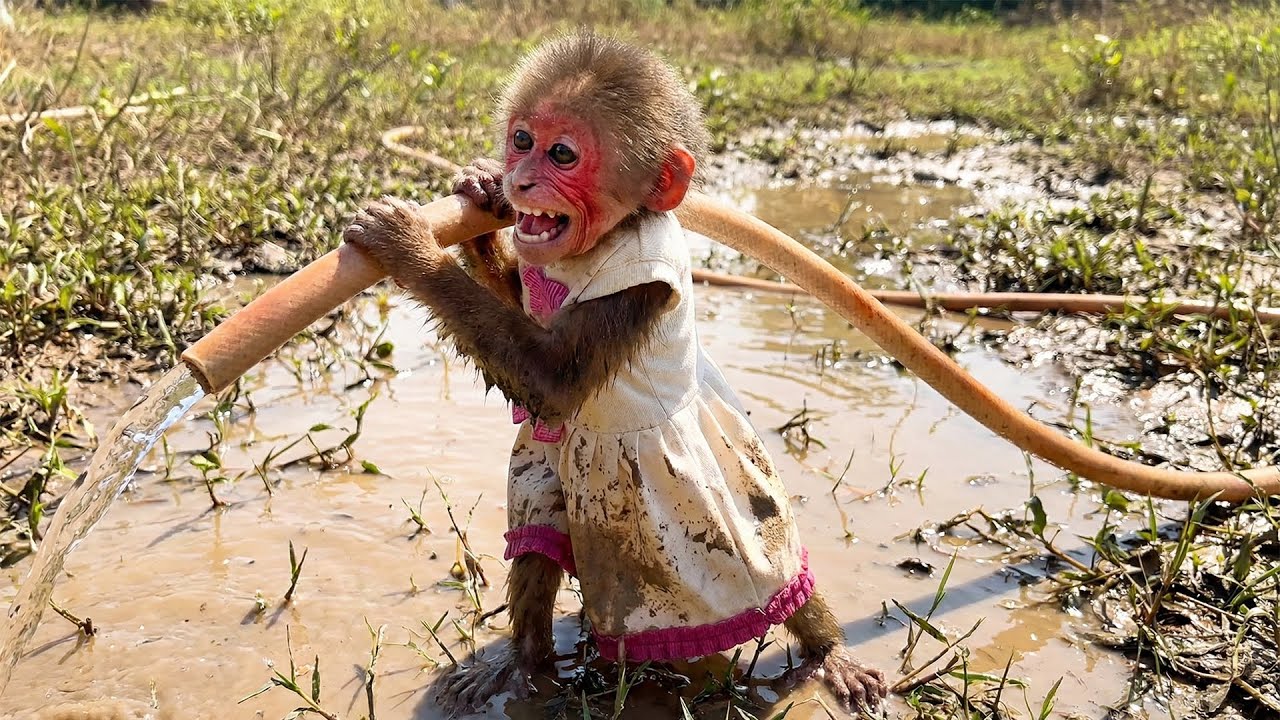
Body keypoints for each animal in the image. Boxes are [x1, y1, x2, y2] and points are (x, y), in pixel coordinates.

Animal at [343, 33, 887, 716]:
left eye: (562, 154)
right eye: (521, 140)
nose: (520, 179)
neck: (601, 240)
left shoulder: (633, 289)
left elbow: (550, 379)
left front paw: (409, 244)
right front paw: (478, 194)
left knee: (775, 577)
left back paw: (829, 650)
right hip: (554, 477)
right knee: (539, 530)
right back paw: (523, 667)